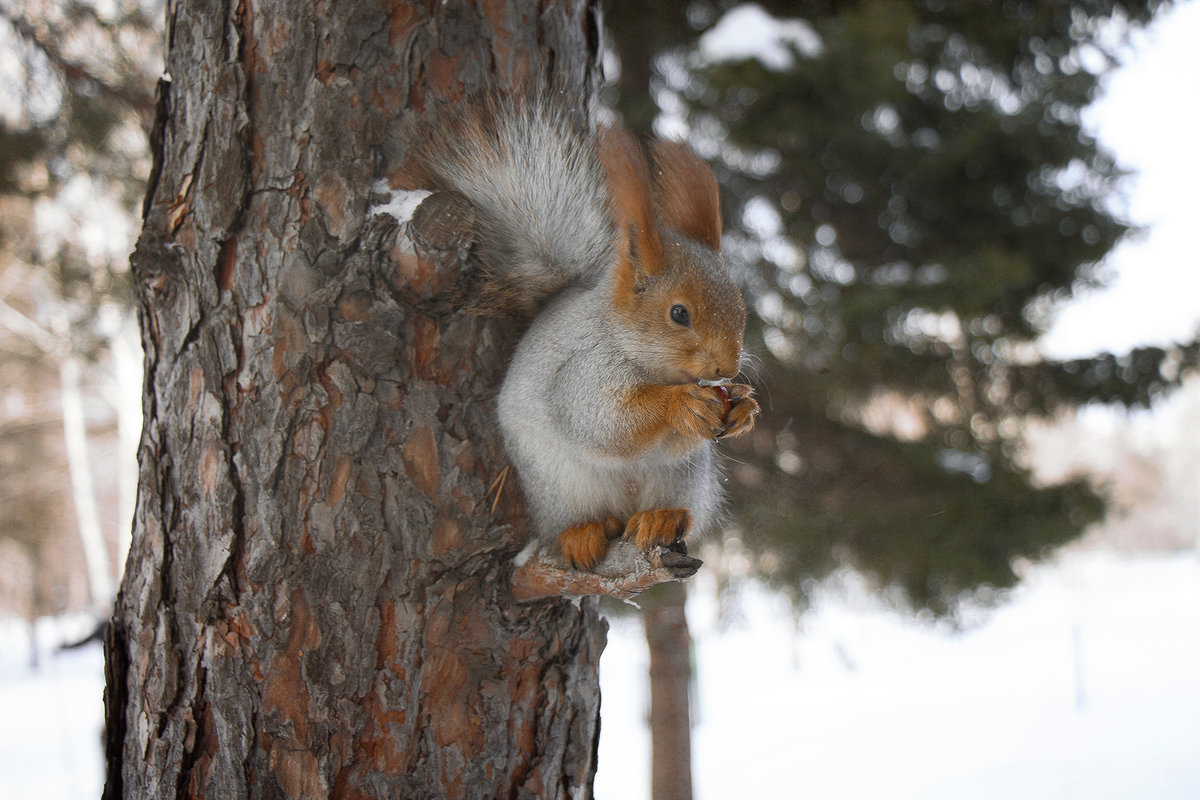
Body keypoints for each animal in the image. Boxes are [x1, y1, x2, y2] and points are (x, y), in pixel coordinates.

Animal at [403, 100, 758, 573]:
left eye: (739, 303)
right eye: (679, 313)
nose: (727, 368)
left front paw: (743, 407)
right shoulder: (583, 369)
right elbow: (603, 422)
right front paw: (680, 404)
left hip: (683, 478)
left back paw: (661, 517)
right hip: (557, 485)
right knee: (579, 519)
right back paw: (583, 534)